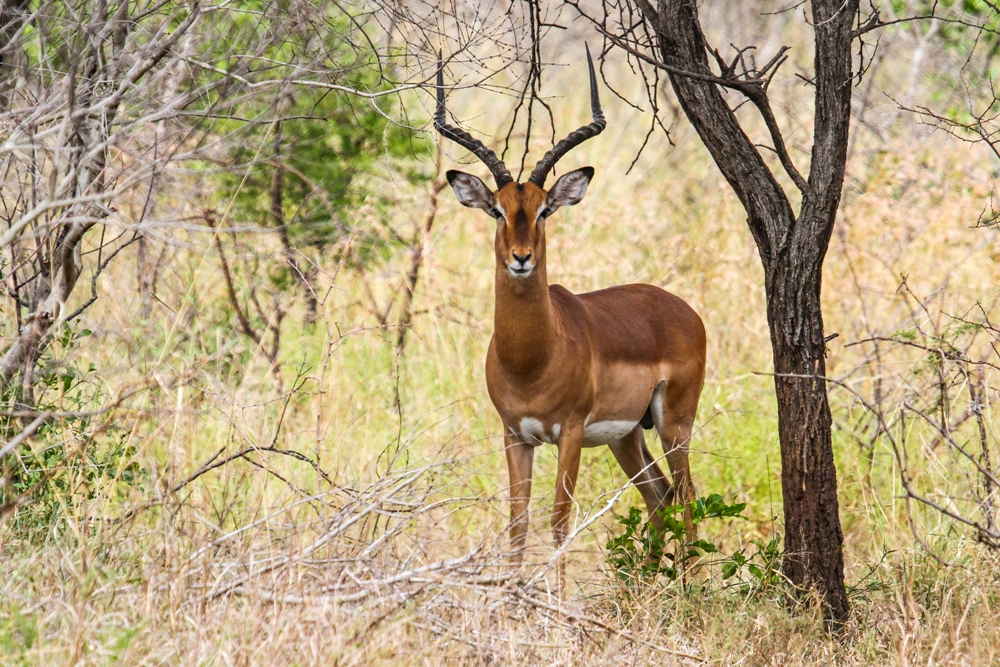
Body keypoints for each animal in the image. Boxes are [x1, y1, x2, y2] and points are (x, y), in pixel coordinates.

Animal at [435, 49, 706, 576]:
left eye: (544, 210)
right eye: (497, 210)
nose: (521, 258)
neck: (531, 361)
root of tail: (681, 307)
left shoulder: (571, 434)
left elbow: (559, 522)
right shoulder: (515, 435)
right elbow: (518, 525)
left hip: (673, 426)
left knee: (686, 499)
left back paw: (691, 586)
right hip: (629, 437)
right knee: (660, 498)